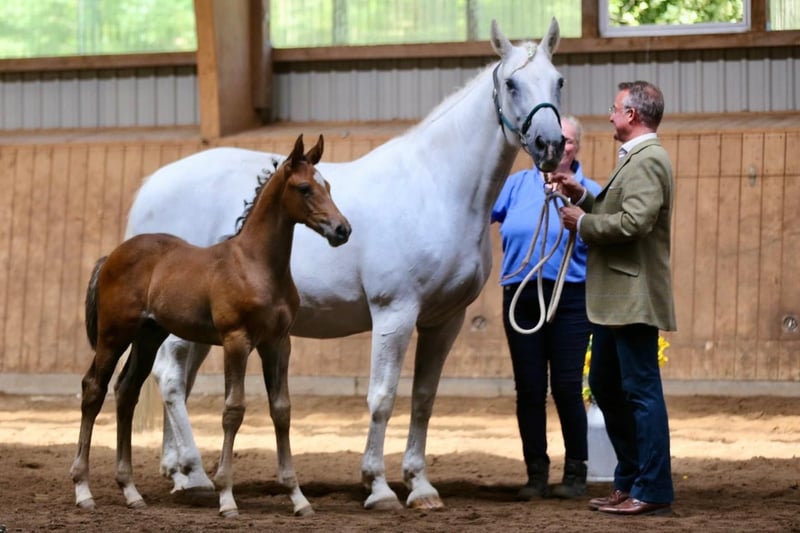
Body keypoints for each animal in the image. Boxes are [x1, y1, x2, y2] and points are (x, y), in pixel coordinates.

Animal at [69, 134, 351, 518]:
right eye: (305, 188)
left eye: (329, 186)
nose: (342, 229)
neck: (256, 265)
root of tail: (111, 255)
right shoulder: (237, 340)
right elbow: (233, 410)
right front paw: (227, 497)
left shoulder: (278, 342)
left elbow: (282, 409)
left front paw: (298, 497)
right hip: (114, 334)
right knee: (93, 389)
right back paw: (83, 491)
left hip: (148, 337)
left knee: (126, 392)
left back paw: (131, 492)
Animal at [126, 18, 565, 511]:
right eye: (511, 84)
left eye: (558, 81)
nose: (550, 145)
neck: (435, 189)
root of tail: (153, 185)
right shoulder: (395, 312)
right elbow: (383, 398)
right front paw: (378, 486)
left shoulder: (445, 320)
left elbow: (424, 398)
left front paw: (420, 486)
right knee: (170, 379)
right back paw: (197, 475)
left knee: (177, 378)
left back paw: (180, 473)